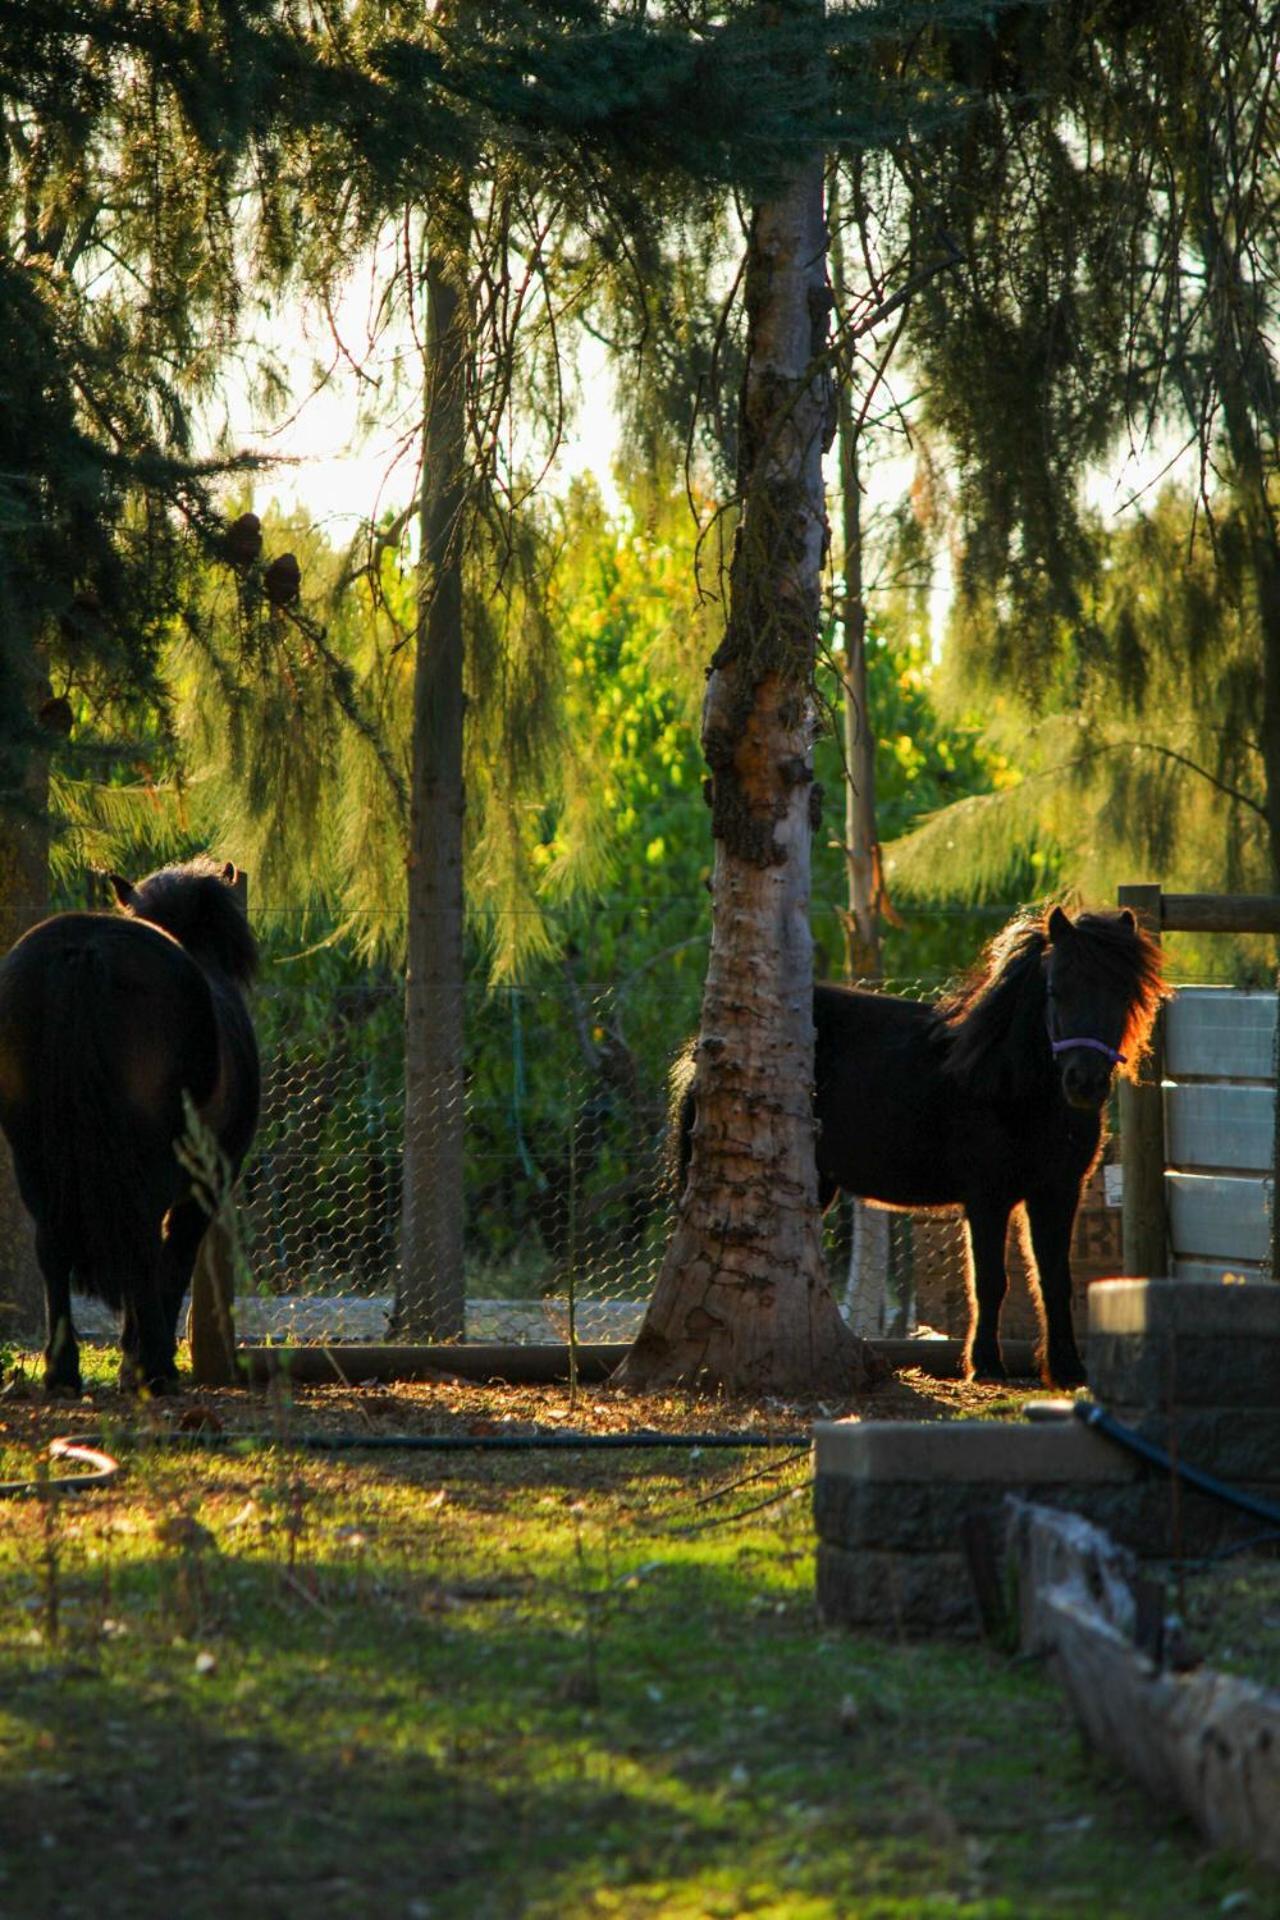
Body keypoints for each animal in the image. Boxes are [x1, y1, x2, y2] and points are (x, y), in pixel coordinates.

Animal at [0, 864, 260, 1390]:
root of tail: (85, 950)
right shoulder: (206, 1182)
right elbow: (173, 1258)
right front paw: (135, 1356)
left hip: (34, 1156)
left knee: (51, 1246)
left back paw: (62, 1371)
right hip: (148, 1162)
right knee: (142, 1245)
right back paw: (154, 1369)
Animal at [679, 906, 1174, 1390]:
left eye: (1123, 993)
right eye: (1056, 991)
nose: (1084, 1082)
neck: (1007, 1080)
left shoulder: (1057, 1192)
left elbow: (1055, 1279)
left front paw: (1067, 1369)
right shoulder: (987, 1198)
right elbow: (990, 1281)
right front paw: (985, 1365)